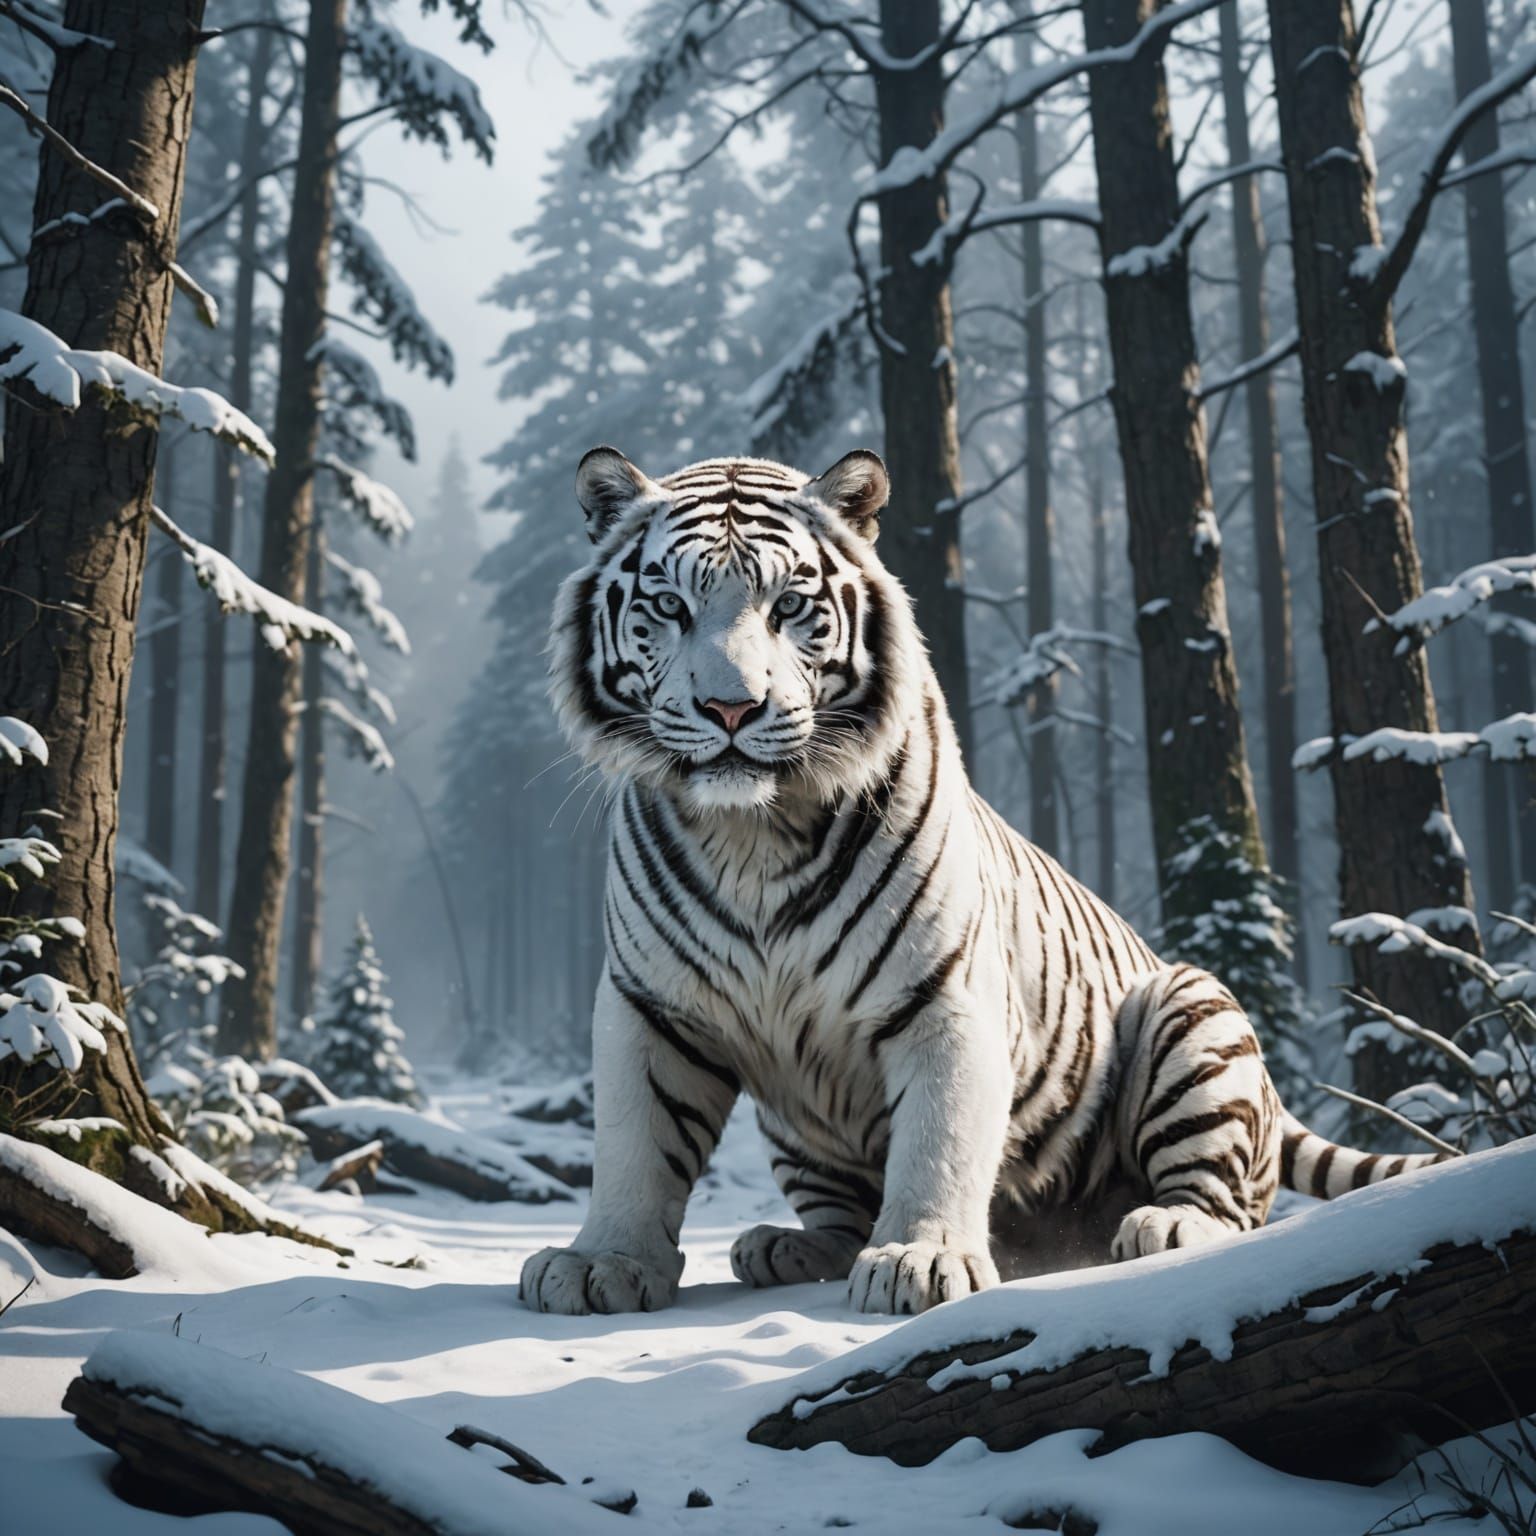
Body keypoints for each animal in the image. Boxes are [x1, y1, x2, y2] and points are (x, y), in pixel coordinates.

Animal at [519, 446, 1446, 1317]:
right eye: (670, 607)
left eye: (789, 607)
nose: (732, 708)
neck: (753, 832)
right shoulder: (650, 1005)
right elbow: (636, 1145)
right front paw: (601, 1262)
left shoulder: (946, 996)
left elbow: (939, 1143)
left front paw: (918, 1262)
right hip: (794, 1120)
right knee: (836, 1217)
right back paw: (783, 1246)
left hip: (1192, 1010)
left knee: (1233, 1205)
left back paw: (1164, 1225)